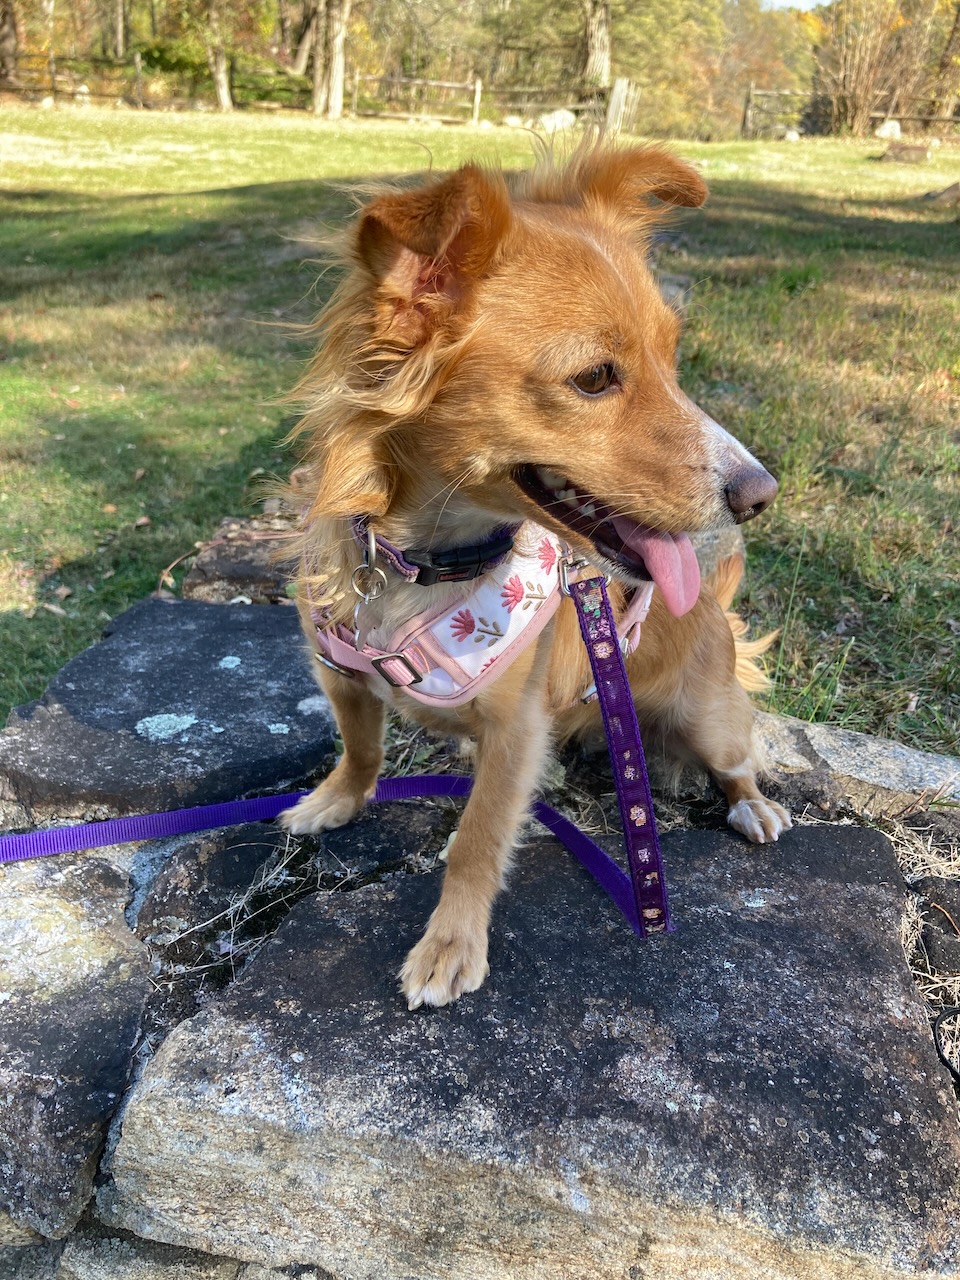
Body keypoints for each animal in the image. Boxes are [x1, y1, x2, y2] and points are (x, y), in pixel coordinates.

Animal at [281, 142, 793, 1008]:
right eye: (594, 378)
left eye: (673, 359)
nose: (760, 495)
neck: (428, 565)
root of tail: (714, 617)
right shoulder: (341, 675)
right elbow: (361, 748)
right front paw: (334, 800)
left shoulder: (516, 731)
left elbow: (479, 836)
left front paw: (450, 944)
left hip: (710, 717)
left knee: (738, 765)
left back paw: (752, 809)